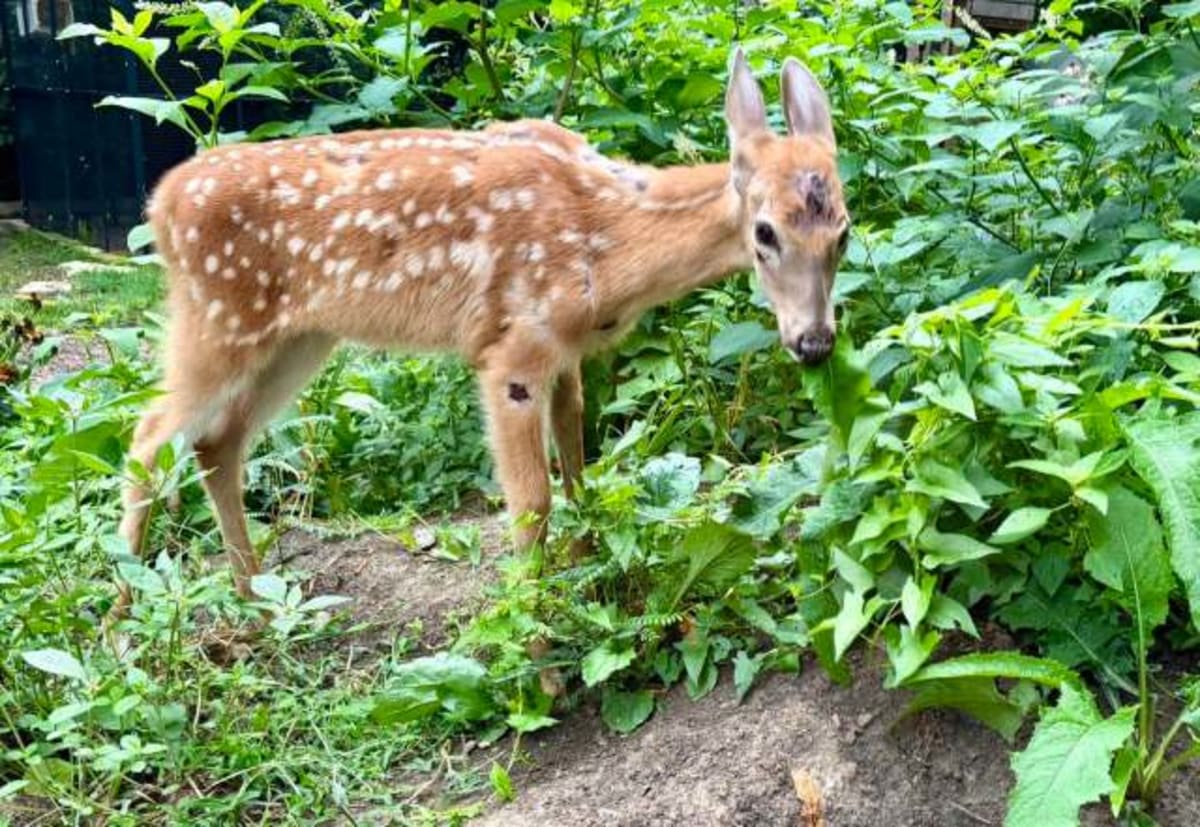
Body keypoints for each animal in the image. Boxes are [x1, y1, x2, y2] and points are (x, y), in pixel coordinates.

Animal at [115, 49, 849, 611]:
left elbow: (578, 463)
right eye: (765, 232)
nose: (814, 341)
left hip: (297, 338)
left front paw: (588, 572)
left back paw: (253, 599)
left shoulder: (566, 354)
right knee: (147, 435)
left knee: (215, 441)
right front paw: (534, 637)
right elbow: (531, 501)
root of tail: (160, 203)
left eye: (843, 230)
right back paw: (123, 615)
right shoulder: (511, 351)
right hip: (217, 318)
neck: (606, 240)